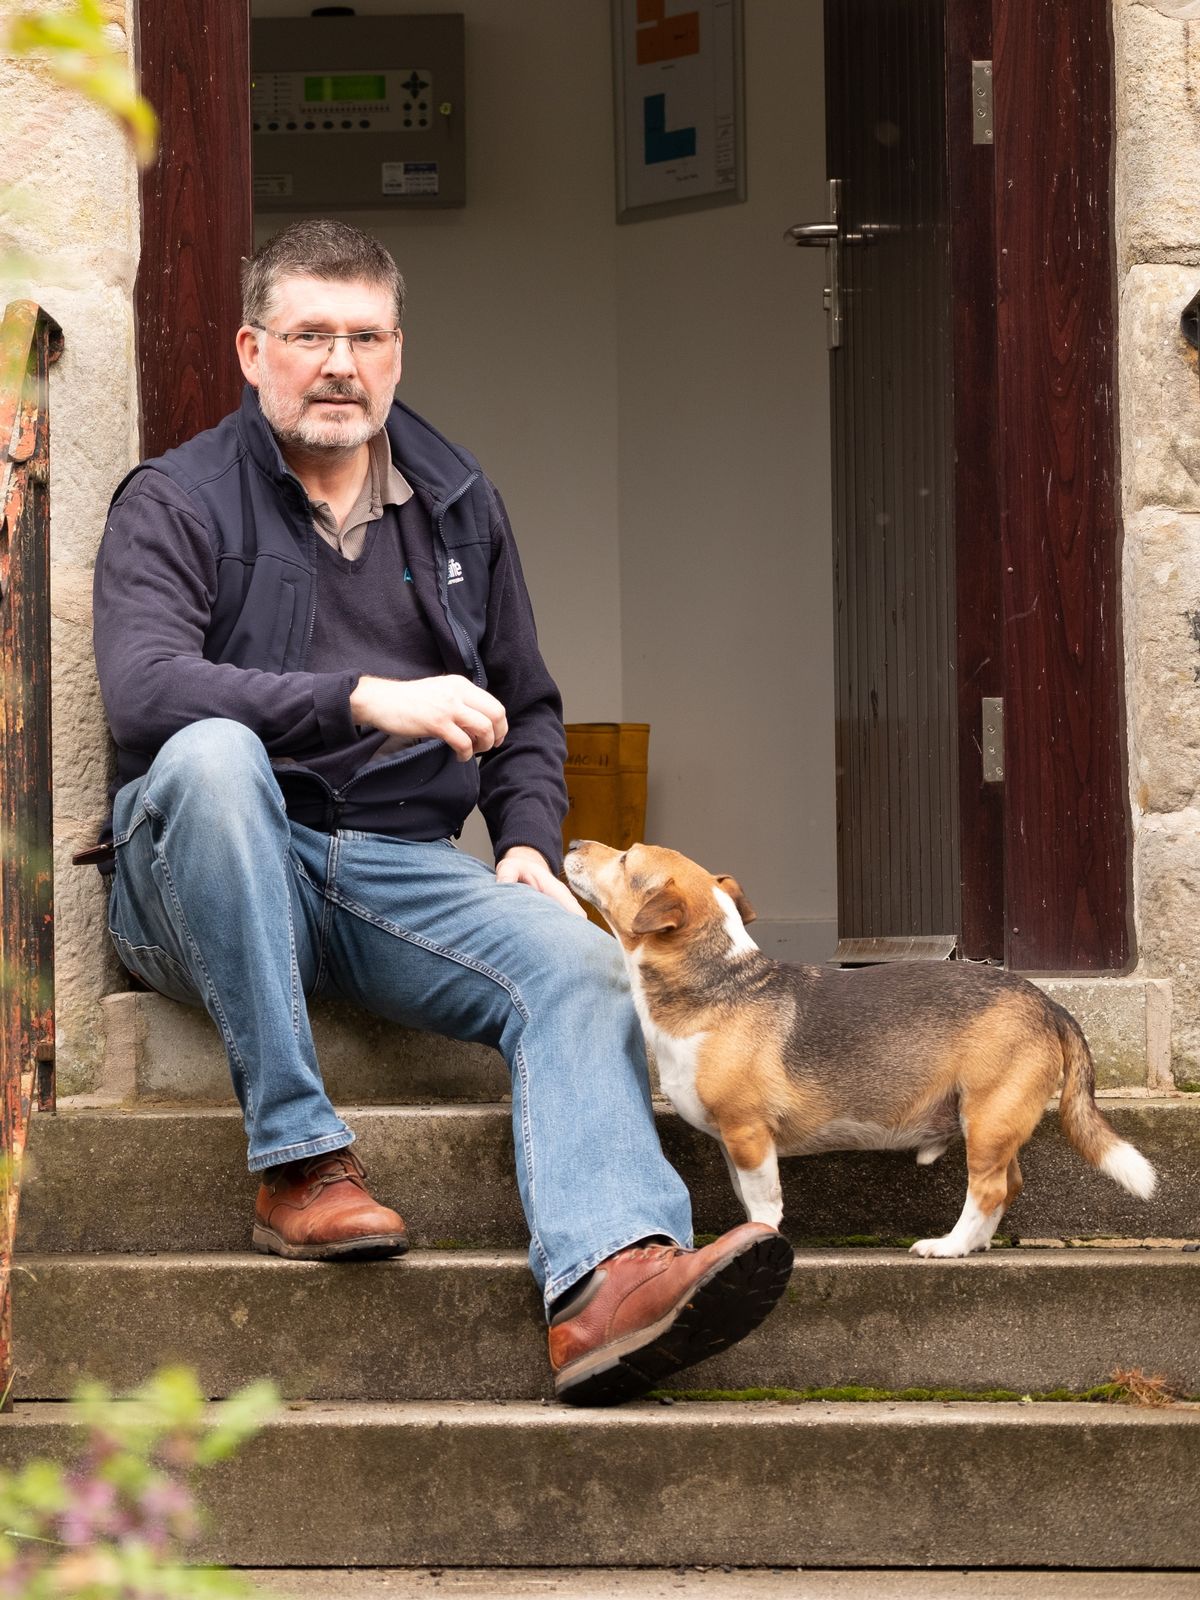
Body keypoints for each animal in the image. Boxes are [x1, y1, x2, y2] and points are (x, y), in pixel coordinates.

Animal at [569, 844, 1158, 1254]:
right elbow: (747, 1197)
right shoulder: (736, 1144)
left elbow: (762, 1203)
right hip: (993, 1122)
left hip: (989, 1115)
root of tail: (1047, 1002)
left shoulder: (747, 1133)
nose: (573, 841)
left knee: (989, 1190)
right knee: (1007, 1185)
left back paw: (948, 1247)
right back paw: (974, 1244)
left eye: (625, 858)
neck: (717, 982)